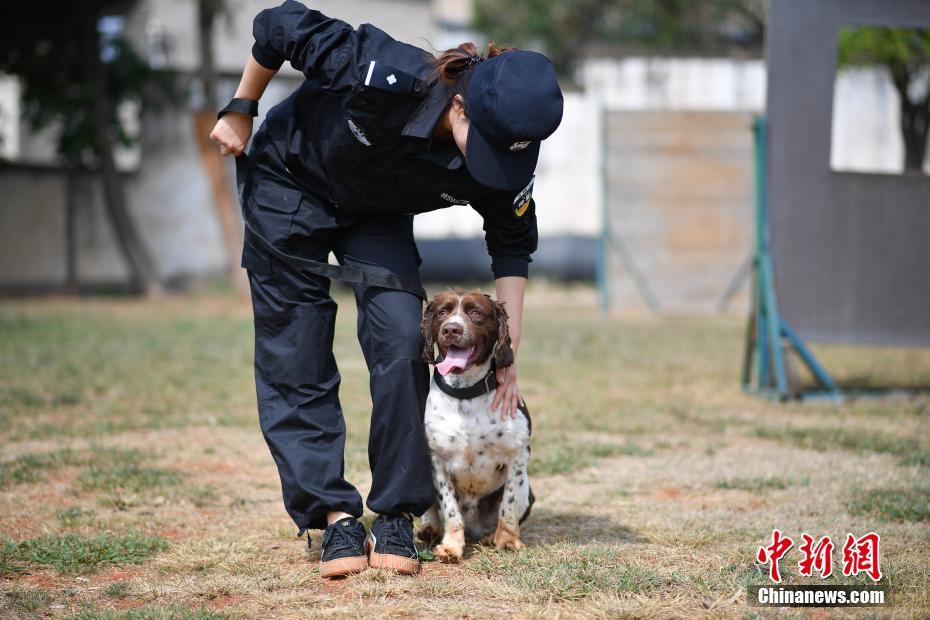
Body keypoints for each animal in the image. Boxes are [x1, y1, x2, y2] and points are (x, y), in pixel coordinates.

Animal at [416, 290, 532, 560]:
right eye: (443, 312)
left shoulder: (518, 455)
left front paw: (506, 541)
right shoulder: (437, 460)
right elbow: (450, 510)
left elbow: (509, 505)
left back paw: (491, 537)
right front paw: (451, 545)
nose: (451, 329)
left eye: (476, 312)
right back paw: (430, 530)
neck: (466, 393)